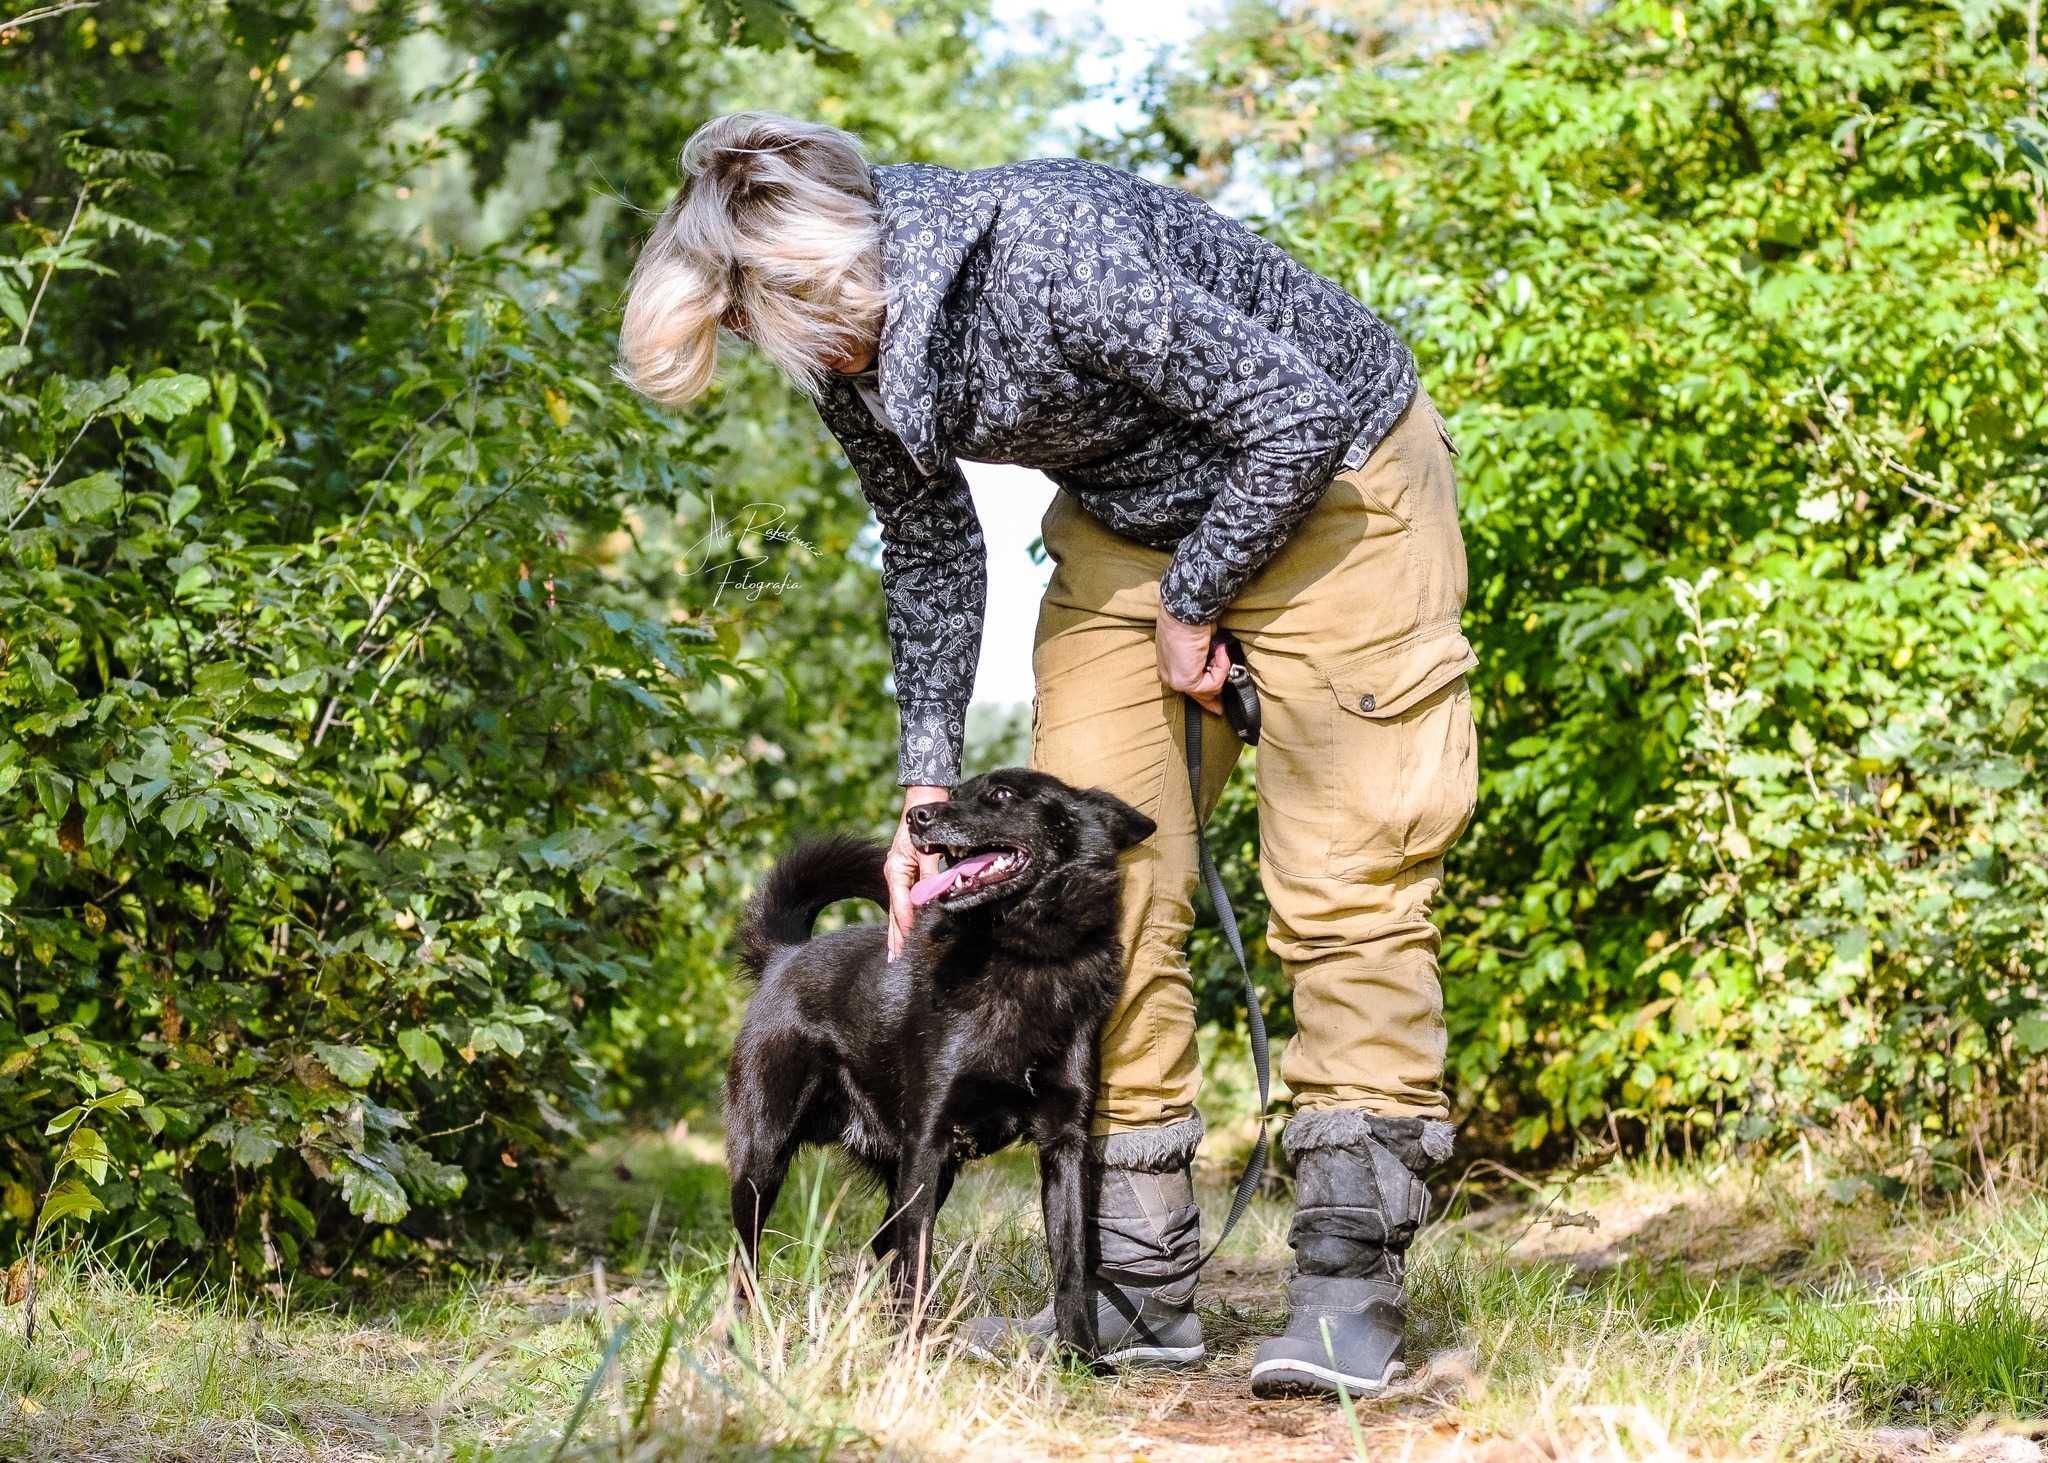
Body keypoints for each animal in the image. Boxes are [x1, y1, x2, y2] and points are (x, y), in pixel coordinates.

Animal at [729, 770, 1163, 1352]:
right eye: (955, 791)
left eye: (1001, 795)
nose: (917, 816)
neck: (1021, 955)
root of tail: (785, 956)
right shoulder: (928, 1139)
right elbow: (920, 1257)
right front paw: (910, 1356)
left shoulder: (1063, 1145)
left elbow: (1072, 1264)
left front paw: (1082, 1358)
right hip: (762, 1159)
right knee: (745, 1256)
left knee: (883, 1242)